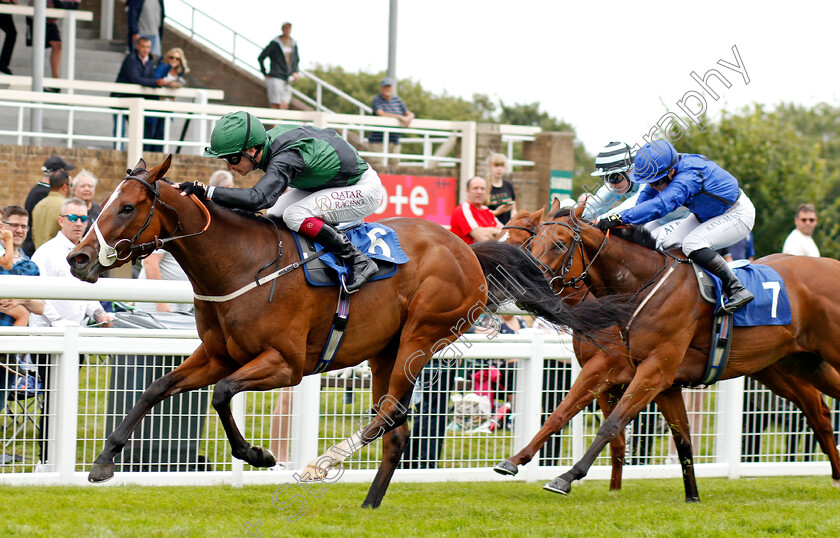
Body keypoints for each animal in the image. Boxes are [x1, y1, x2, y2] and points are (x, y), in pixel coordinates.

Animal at [65, 156, 620, 506]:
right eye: (103, 202)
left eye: (128, 207)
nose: (79, 259)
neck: (240, 263)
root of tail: (467, 250)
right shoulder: (219, 354)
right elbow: (156, 387)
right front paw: (103, 462)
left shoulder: (285, 365)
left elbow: (222, 394)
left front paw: (259, 454)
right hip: (385, 350)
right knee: (395, 429)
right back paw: (369, 503)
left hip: (421, 337)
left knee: (389, 416)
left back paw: (320, 465)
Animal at [496, 201, 840, 498]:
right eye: (530, 245)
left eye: (558, 244)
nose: (522, 291)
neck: (640, 286)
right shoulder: (659, 380)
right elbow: (566, 415)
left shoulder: (643, 370)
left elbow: (611, 426)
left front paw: (567, 477)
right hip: (789, 365)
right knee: (819, 411)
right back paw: (836, 475)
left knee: (820, 411)